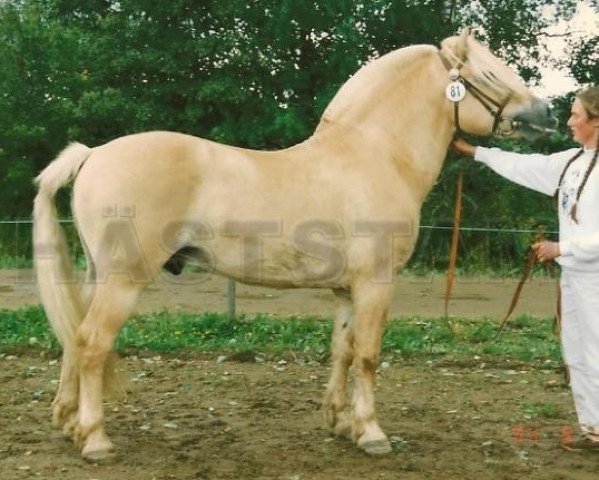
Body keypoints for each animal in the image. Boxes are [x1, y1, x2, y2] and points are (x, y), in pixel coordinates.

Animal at [32, 29, 556, 462]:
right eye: (487, 71)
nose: (546, 113)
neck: (375, 155)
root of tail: (95, 154)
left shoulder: (346, 290)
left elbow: (342, 349)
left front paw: (340, 422)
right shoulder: (376, 284)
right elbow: (368, 354)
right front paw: (372, 433)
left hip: (98, 275)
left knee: (73, 338)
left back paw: (68, 423)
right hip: (123, 281)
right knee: (92, 342)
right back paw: (95, 440)